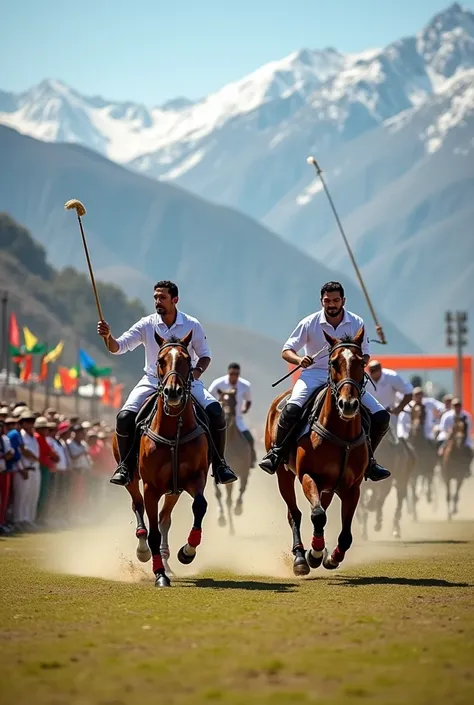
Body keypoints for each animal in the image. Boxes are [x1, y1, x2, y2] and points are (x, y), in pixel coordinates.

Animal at [113, 332, 209, 584]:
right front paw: (159, 575)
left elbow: (200, 506)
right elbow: (153, 531)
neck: (173, 430)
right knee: (137, 507)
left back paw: (167, 560)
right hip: (132, 478)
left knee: (165, 518)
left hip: (174, 490)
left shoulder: (195, 478)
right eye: (160, 360)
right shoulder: (151, 487)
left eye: (187, 360)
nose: (173, 392)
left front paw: (187, 552)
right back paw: (144, 551)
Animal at [215, 388, 252, 532]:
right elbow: (220, 495)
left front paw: (238, 509)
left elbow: (242, 488)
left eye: (234, 402)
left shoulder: (243, 471)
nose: (227, 416)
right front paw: (222, 519)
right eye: (220, 401)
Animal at [262, 328, 370, 576]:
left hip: (329, 486)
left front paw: (331, 557)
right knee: (295, 513)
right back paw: (301, 557)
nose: (348, 404)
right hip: (284, 474)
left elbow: (346, 534)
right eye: (333, 362)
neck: (342, 434)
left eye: (362, 362)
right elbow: (317, 515)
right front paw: (315, 553)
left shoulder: (353, 486)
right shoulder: (307, 476)